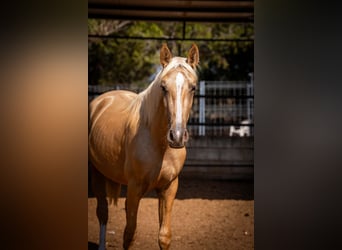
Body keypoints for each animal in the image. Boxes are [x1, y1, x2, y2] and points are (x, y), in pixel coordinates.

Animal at [89, 44, 199, 249]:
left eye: (193, 87)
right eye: (163, 87)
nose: (177, 136)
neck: (160, 144)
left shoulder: (169, 188)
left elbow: (164, 236)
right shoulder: (134, 189)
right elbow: (129, 235)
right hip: (96, 173)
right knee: (102, 213)